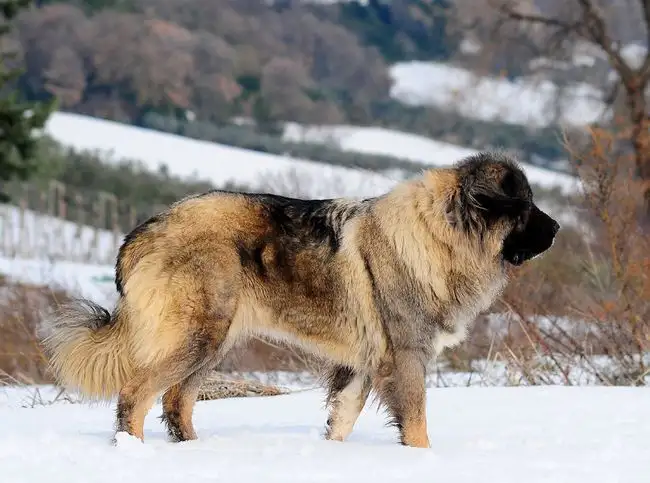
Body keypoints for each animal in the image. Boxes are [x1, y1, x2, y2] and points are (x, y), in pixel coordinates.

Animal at [40, 152, 556, 450]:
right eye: (525, 208)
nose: (557, 228)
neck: (439, 235)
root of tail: (143, 232)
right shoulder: (407, 357)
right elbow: (417, 425)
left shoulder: (363, 363)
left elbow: (342, 417)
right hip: (196, 336)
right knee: (136, 395)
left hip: (214, 343)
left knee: (175, 400)